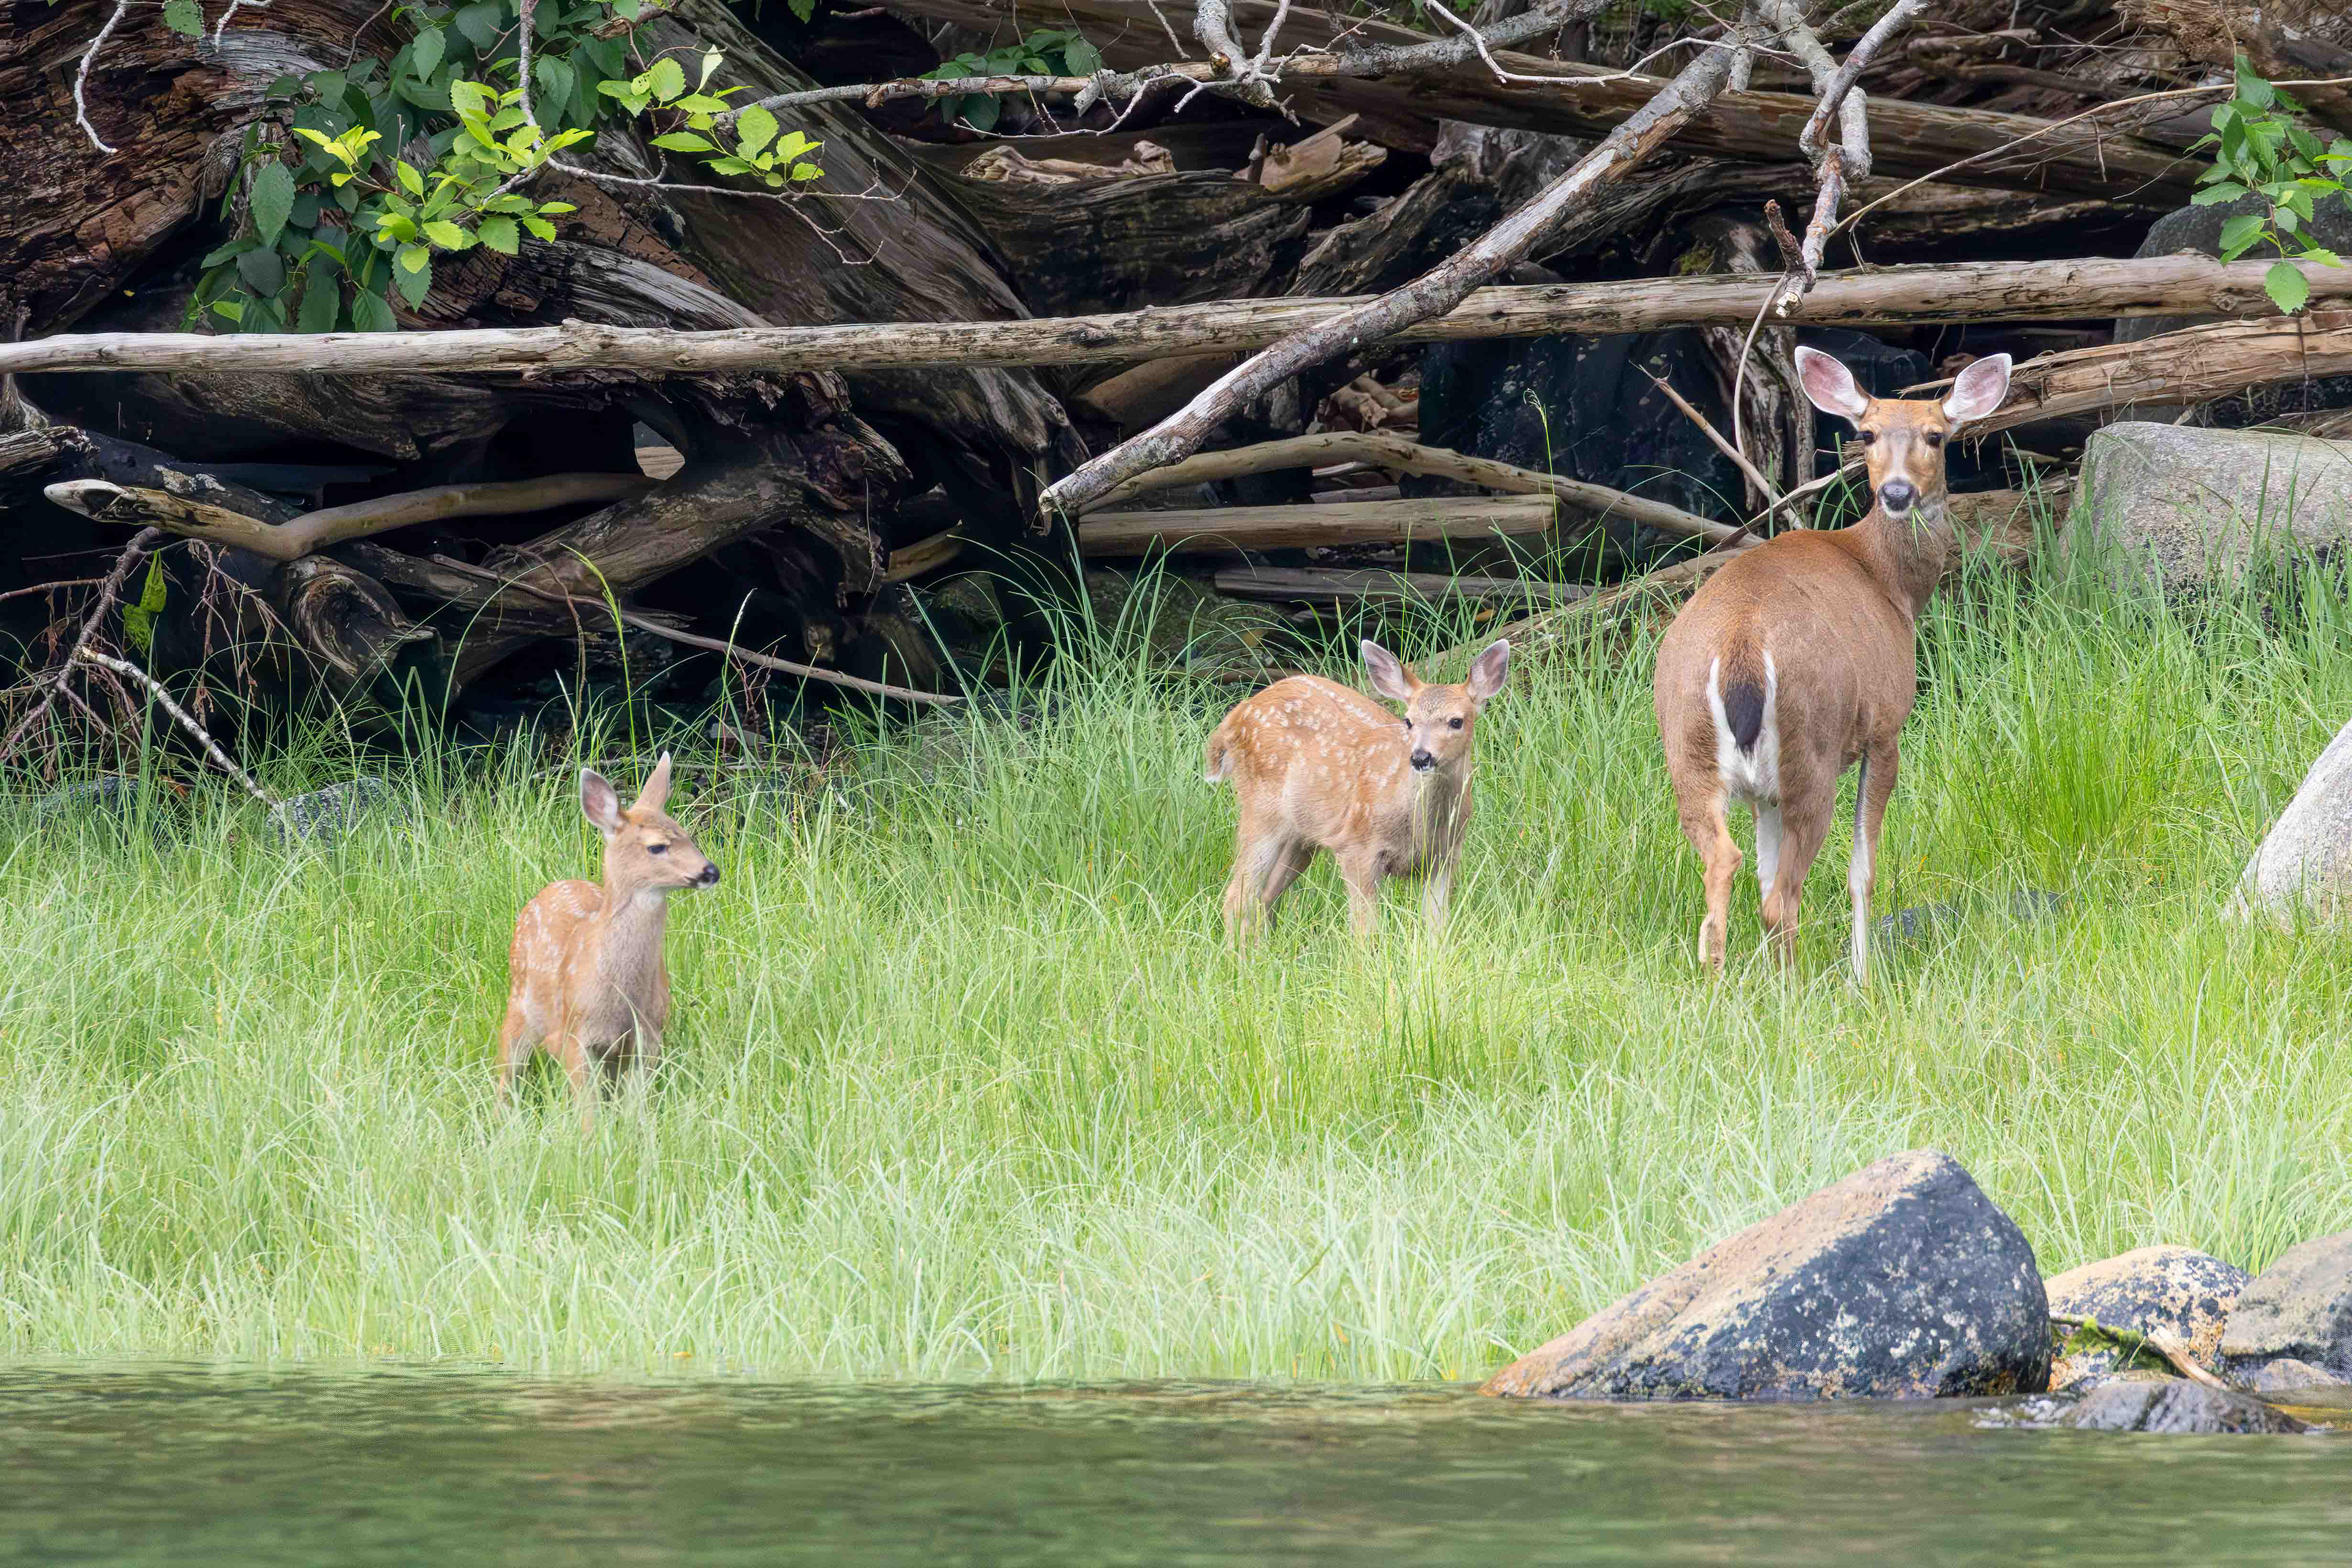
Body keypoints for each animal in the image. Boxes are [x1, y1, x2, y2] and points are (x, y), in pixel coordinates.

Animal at [495, 753, 719, 1126]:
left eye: (687, 835)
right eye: (657, 847)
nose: (710, 871)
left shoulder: (649, 1037)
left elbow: (635, 1106)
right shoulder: (573, 1037)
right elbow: (588, 1111)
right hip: (519, 1004)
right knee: (507, 1070)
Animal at [1205, 639, 1510, 939]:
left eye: (1456, 721)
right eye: (1408, 721)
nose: (1421, 757)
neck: (1419, 828)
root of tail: (1235, 717)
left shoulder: (1446, 857)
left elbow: (1437, 927)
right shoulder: (1356, 848)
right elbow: (1365, 932)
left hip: (1301, 836)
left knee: (1266, 896)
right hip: (1261, 810)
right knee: (1237, 896)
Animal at [1652, 346, 2014, 982]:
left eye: (1936, 436)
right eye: (1866, 434)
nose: (1896, 493)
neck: (1890, 582)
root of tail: (1740, 650)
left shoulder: (1762, 792)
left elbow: (1765, 870)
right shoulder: (1887, 726)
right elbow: (1862, 871)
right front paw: (1862, 978)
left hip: (1688, 745)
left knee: (1727, 870)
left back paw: (1727, 986)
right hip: (1811, 749)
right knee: (1781, 898)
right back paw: (1797, 990)